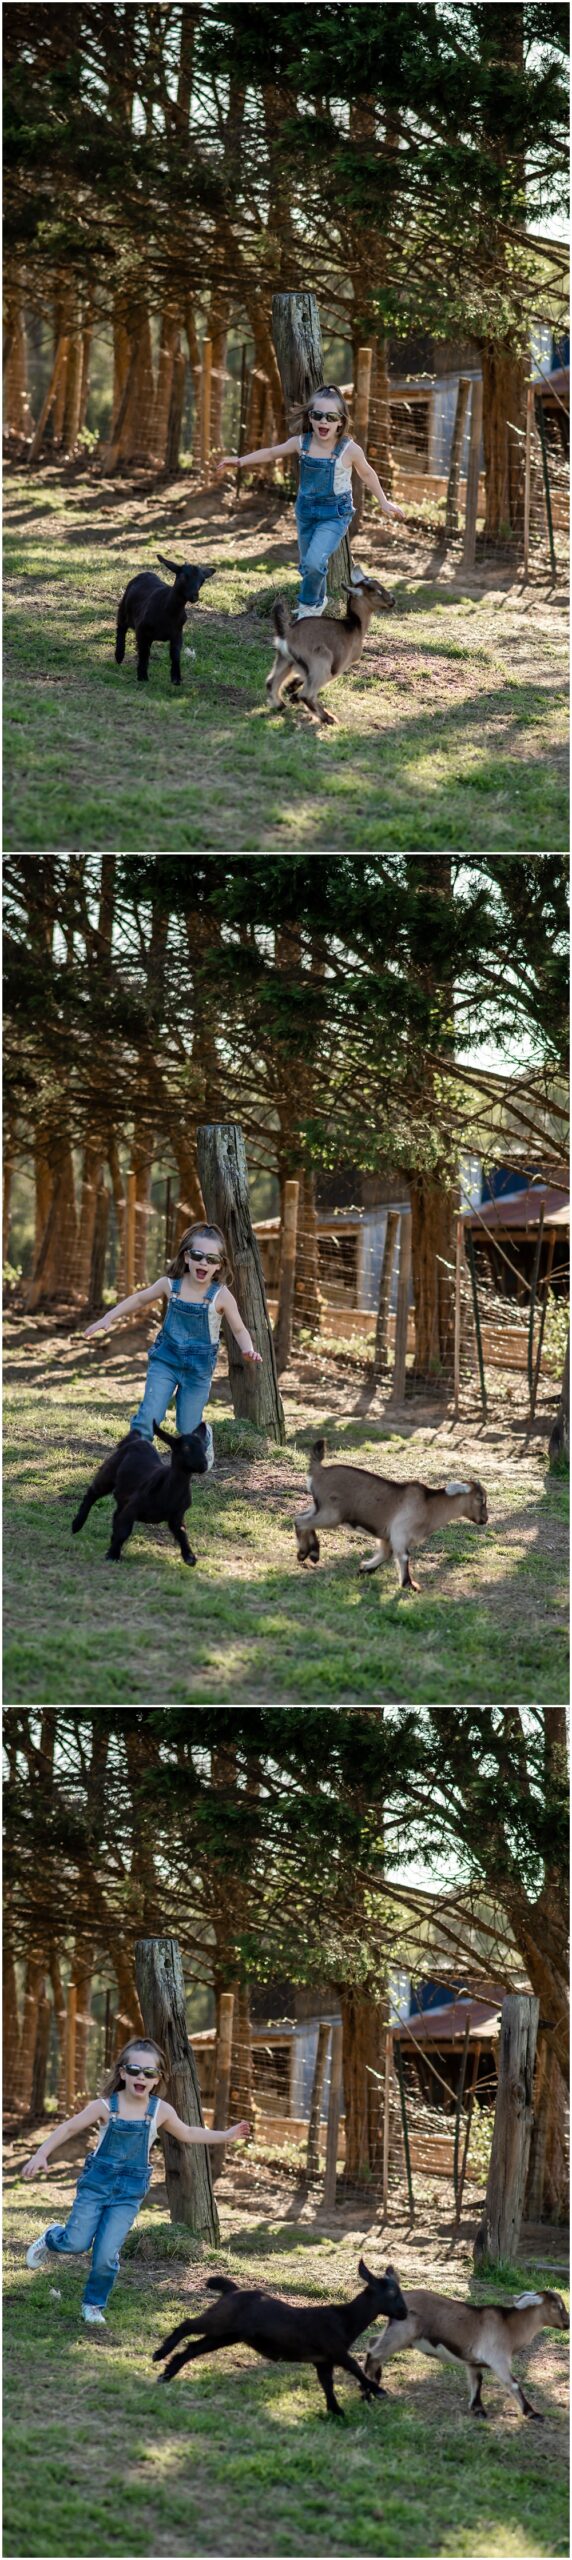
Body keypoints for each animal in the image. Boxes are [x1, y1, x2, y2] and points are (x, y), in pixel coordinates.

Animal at [69, 1423, 207, 1556]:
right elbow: (124, 1531)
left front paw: (189, 1556)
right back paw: (77, 1525)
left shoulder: (176, 1516)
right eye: (186, 1448)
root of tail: (137, 1439)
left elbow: (182, 1534)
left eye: (204, 1448)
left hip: (123, 1494)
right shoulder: (133, 1507)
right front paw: (113, 1554)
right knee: (92, 1493)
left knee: (116, 1513)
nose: (204, 1465)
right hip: (109, 1471)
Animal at [114, 555, 216, 686]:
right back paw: (119, 656)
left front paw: (176, 678)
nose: (194, 596)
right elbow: (144, 653)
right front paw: (142, 676)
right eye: (183, 577)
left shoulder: (177, 634)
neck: (168, 611)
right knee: (121, 628)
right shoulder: (141, 630)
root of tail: (145, 573)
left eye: (202, 581)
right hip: (123, 610)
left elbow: (175, 655)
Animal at [149, 2263, 405, 2416]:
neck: (345, 2318)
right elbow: (355, 2369)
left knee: (194, 2347)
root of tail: (232, 2290)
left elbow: (328, 2384)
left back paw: (167, 2374)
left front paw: (336, 2411)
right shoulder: (336, 2351)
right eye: (392, 2293)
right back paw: (159, 2354)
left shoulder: (323, 2361)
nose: (403, 2313)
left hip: (226, 2335)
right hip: (219, 2322)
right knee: (187, 2325)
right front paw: (378, 2391)